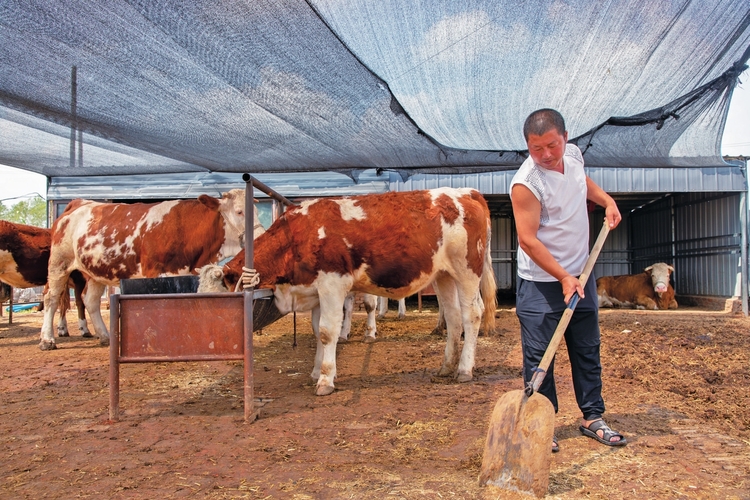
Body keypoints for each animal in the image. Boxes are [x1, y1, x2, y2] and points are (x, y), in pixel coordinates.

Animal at [39, 189, 247, 350]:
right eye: (239, 211)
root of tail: (78, 203)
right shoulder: (153, 272)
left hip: (96, 271)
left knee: (90, 300)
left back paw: (105, 336)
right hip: (59, 264)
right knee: (51, 298)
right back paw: (47, 339)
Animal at [220, 186, 496, 396]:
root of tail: (466, 192)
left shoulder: (332, 284)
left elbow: (327, 332)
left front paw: (325, 380)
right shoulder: (316, 291)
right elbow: (317, 330)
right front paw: (316, 371)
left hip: (467, 271)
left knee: (472, 315)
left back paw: (464, 370)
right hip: (444, 276)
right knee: (453, 317)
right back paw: (446, 366)